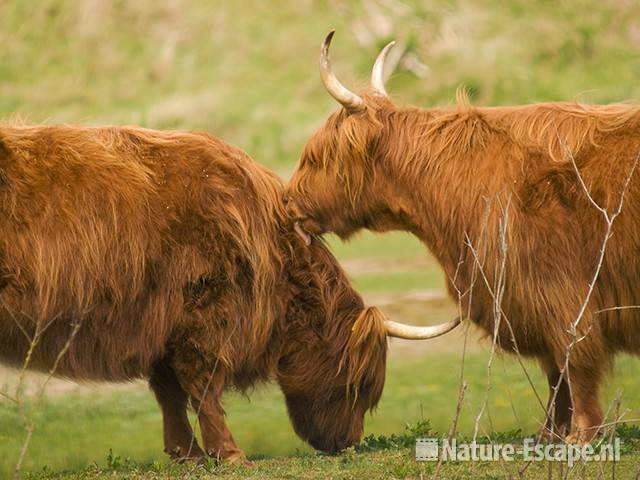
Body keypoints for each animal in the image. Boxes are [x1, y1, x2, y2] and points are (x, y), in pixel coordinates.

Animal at [0, 124, 458, 464]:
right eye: (361, 384)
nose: (348, 442)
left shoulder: (165, 328)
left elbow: (169, 392)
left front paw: (187, 454)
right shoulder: (205, 317)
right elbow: (203, 387)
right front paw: (231, 453)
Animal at [286, 30, 640, 442]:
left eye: (317, 157)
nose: (288, 201)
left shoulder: (561, 296)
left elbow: (574, 365)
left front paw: (579, 436)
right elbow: (556, 376)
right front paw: (548, 434)